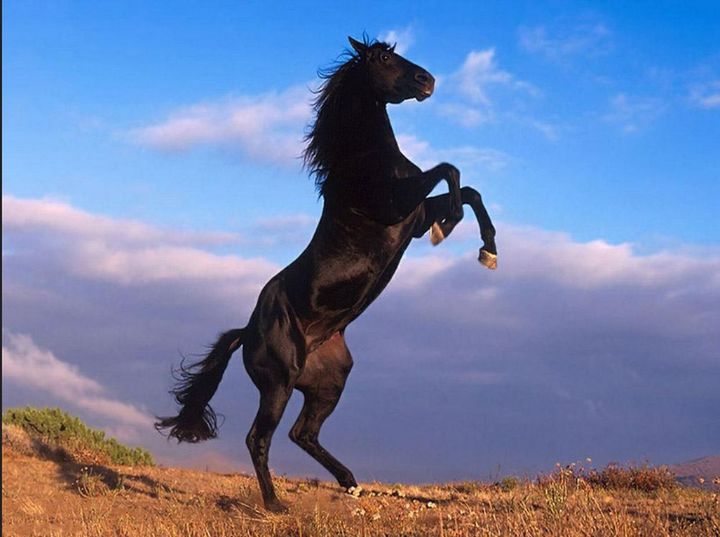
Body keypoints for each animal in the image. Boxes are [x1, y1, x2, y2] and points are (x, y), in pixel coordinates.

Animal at [156, 37, 496, 510]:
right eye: (384, 58)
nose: (428, 80)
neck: (364, 159)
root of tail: (247, 331)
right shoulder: (398, 206)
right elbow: (450, 172)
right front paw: (449, 231)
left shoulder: (411, 218)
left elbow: (469, 191)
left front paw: (488, 250)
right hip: (278, 385)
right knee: (259, 438)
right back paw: (276, 504)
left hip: (328, 383)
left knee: (303, 433)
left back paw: (350, 482)